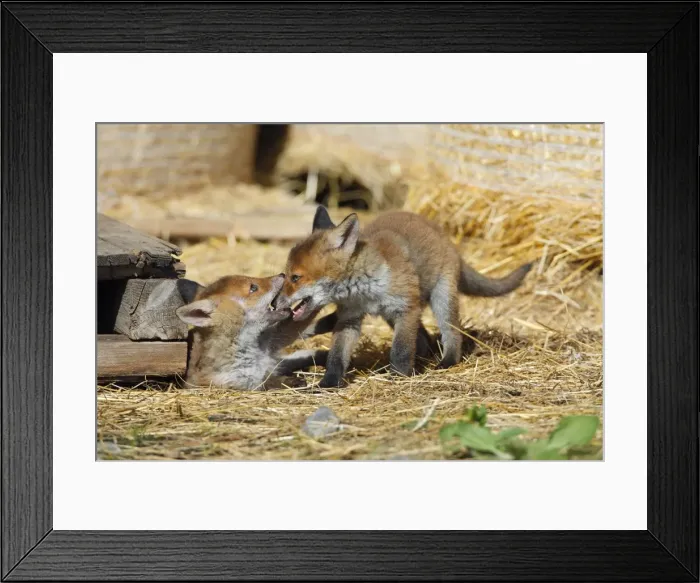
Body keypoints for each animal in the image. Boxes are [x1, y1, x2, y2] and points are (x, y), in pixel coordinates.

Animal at [175, 273, 336, 390]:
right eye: (253, 287)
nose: (283, 274)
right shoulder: (237, 381)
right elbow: (265, 382)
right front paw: (289, 381)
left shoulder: (273, 339)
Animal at [276, 206, 533, 388]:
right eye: (286, 274)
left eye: (295, 277)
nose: (274, 302)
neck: (364, 291)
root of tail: (444, 236)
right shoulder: (350, 317)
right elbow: (336, 356)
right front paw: (329, 383)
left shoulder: (406, 308)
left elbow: (400, 350)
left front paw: (399, 376)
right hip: (395, 315)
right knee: (424, 339)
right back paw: (422, 359)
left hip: (441, 300)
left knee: (451, 334)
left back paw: (446, 361)